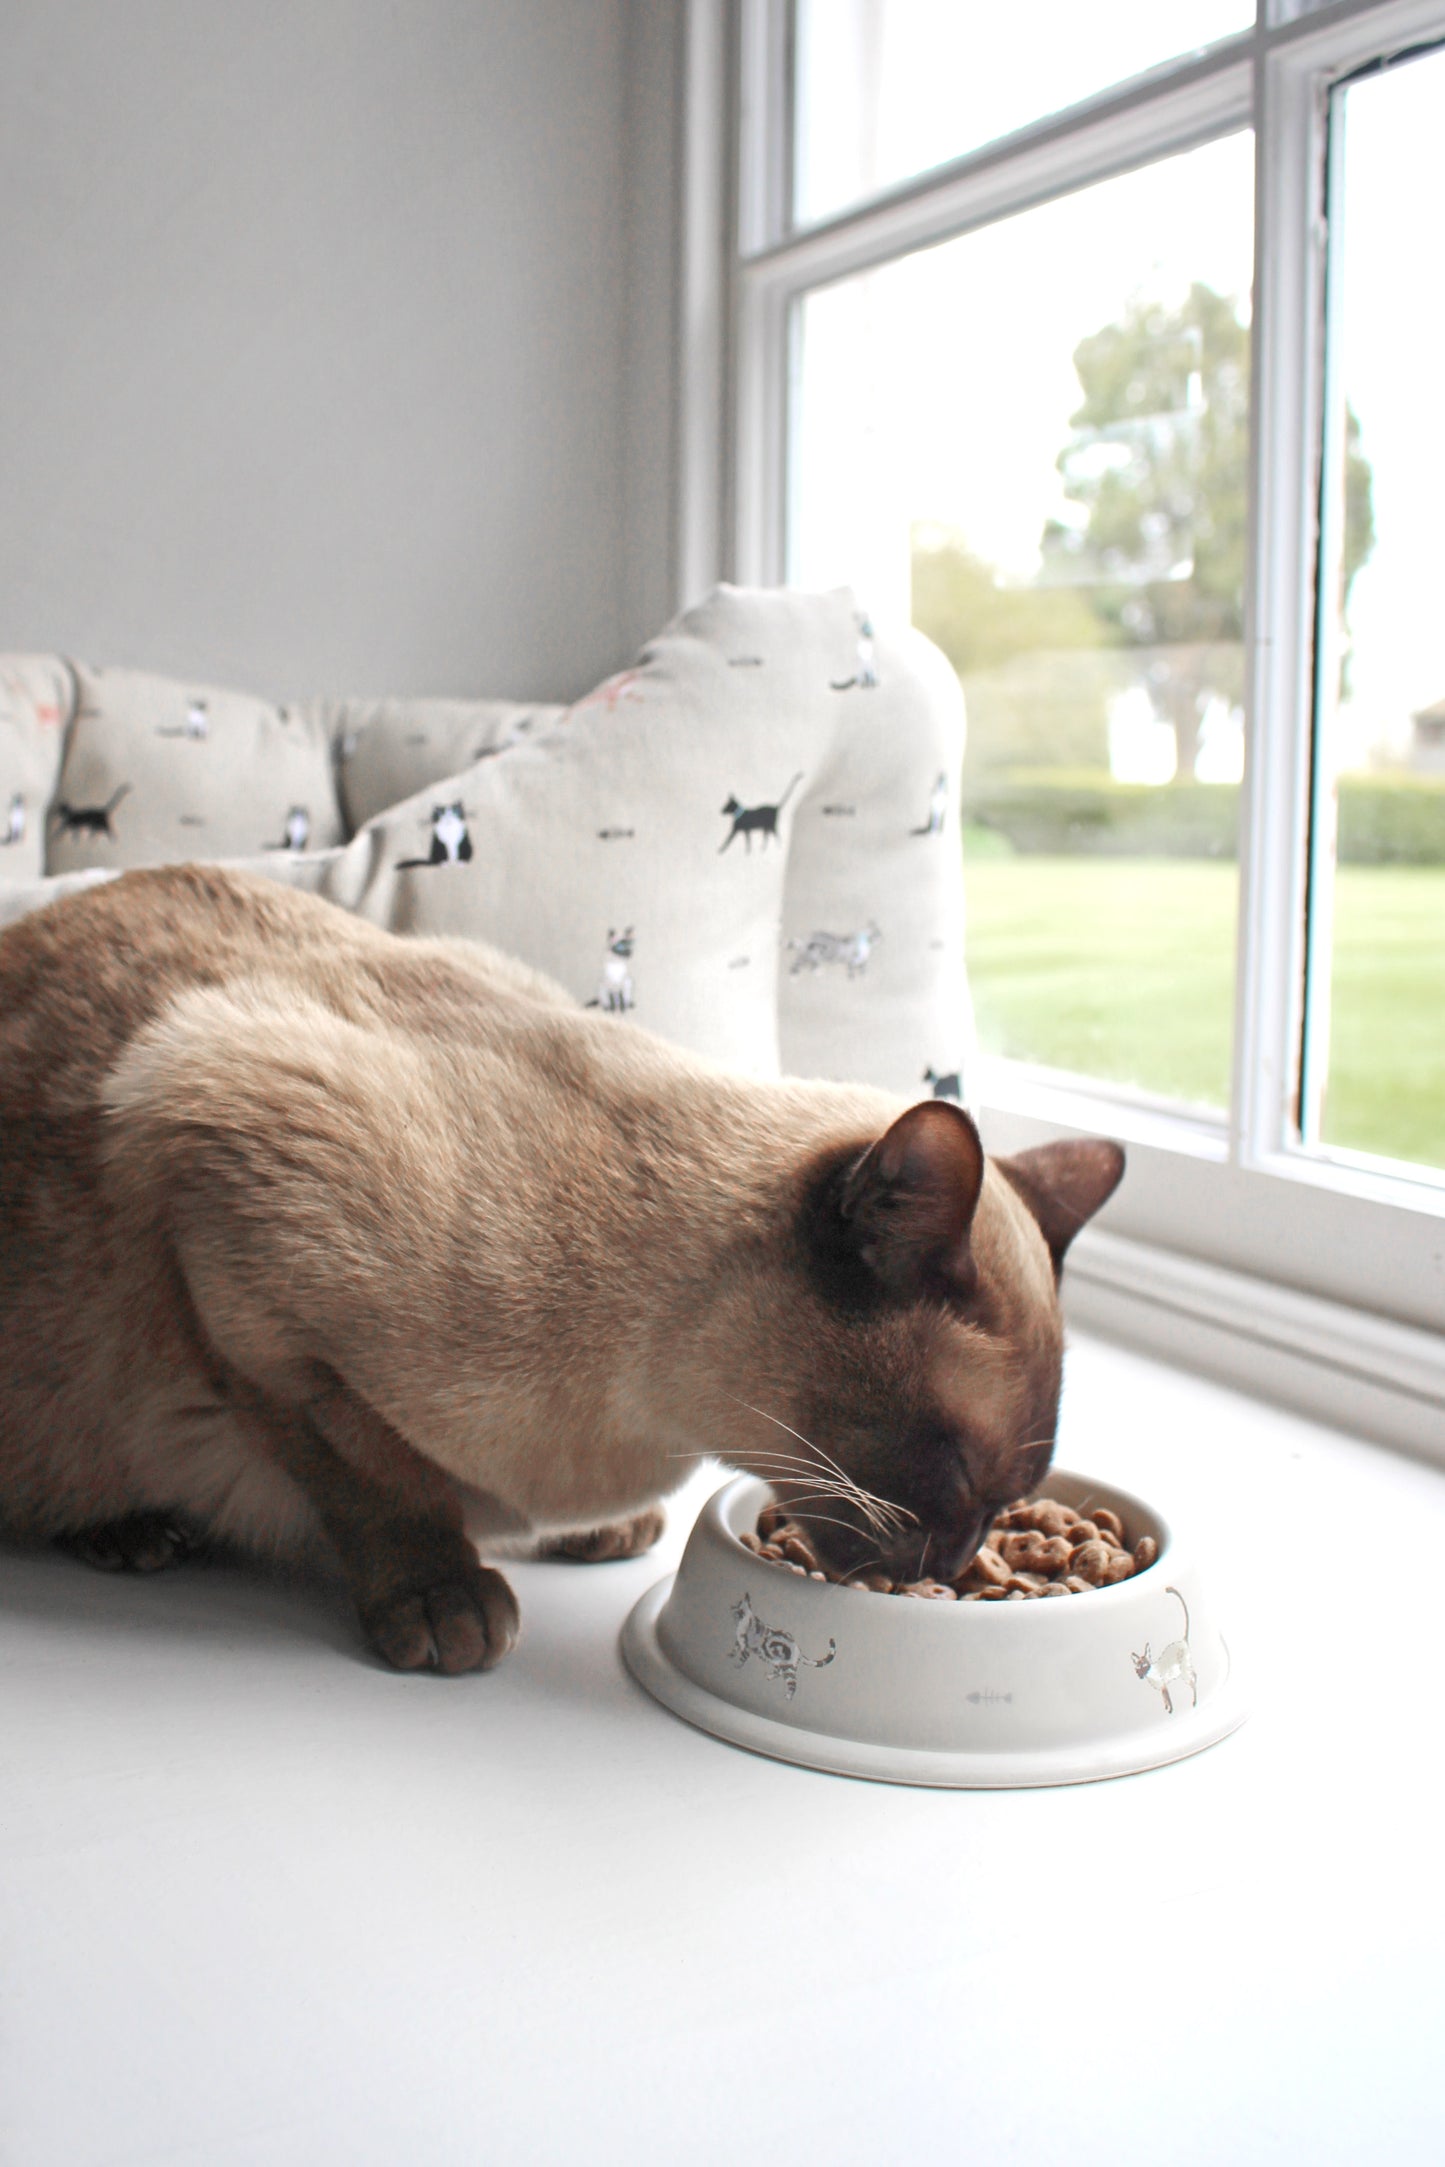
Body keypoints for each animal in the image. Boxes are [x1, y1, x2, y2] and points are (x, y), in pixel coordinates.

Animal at [0, 862, 1126, 1672]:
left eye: (1009, 1503)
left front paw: (591, 1530)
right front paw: (442, 1602)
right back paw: (131, 1534)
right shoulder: (239, 1251)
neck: (654, 1415)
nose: (953, 1563)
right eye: (956, 1473)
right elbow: (382, 1482)